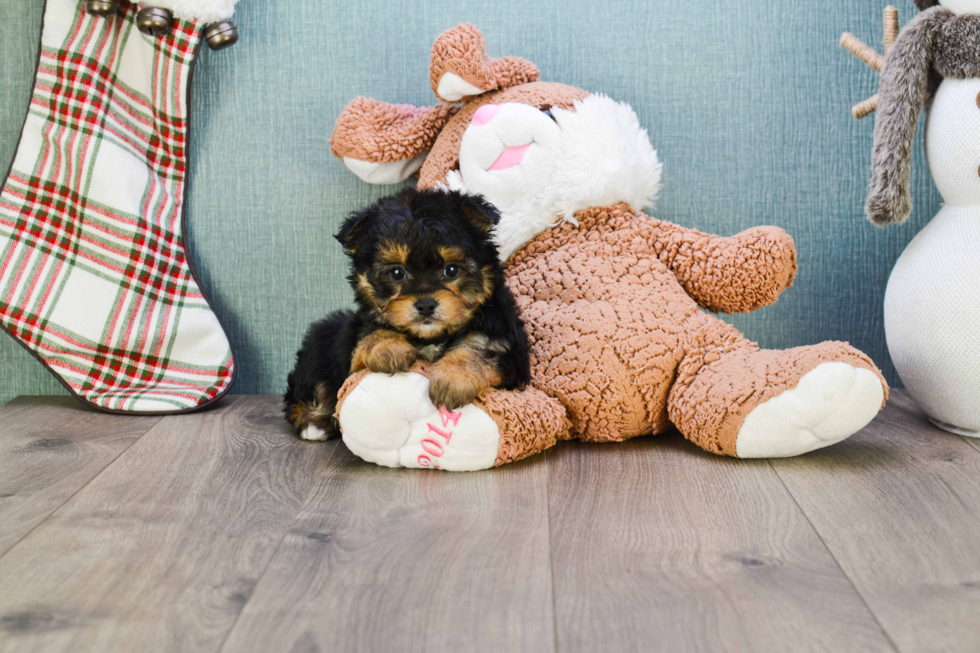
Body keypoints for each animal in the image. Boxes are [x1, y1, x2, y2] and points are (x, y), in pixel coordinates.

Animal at [280, 190, 532, 444]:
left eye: (451, 270)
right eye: (396, 272)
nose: (426, 305)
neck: (430, 337)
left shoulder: (508, 350)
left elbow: (476, 351)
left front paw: (453, 379)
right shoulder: (354, 348)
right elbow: (371, 334)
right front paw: (387, 347)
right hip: (318, 348)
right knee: (307, 391)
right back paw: (315, 423)